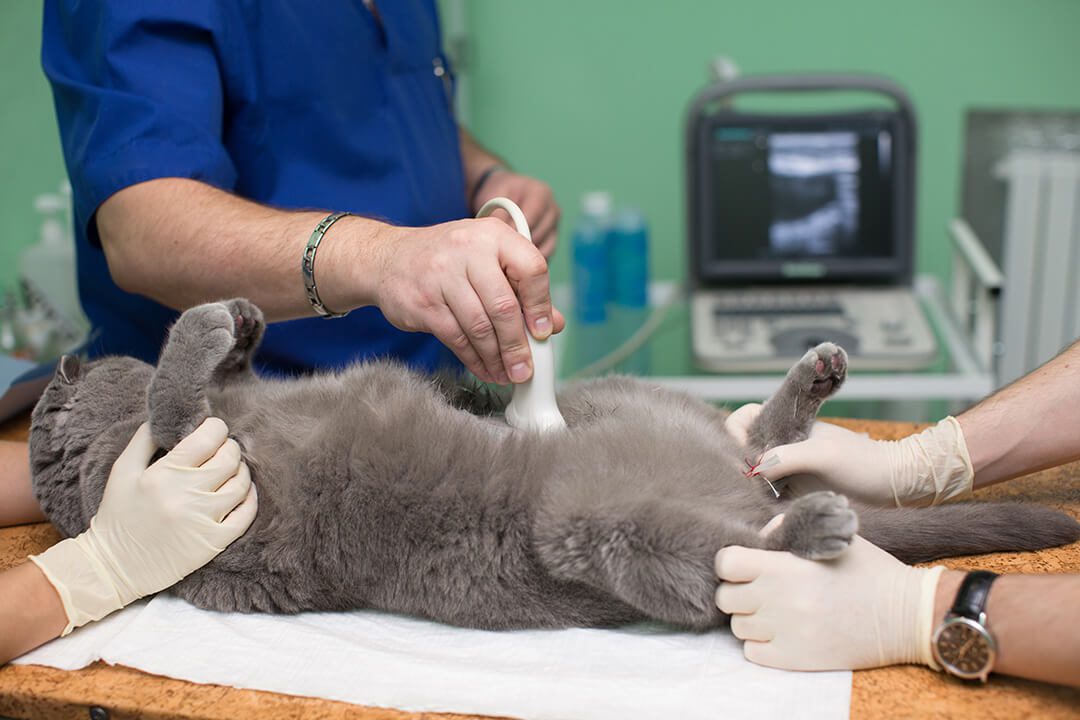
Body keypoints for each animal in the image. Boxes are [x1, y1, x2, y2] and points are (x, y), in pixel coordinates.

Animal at [29, 297, 1075, 630]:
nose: (54, 380)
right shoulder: (200, 465)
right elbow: (175, 395)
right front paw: (205, 328)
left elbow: (191, 380)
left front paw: (240, 321)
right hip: (586, 528)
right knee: (731, 551)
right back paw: (814, 524)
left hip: (620, 399)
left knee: (752, 443)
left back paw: (812, 384)